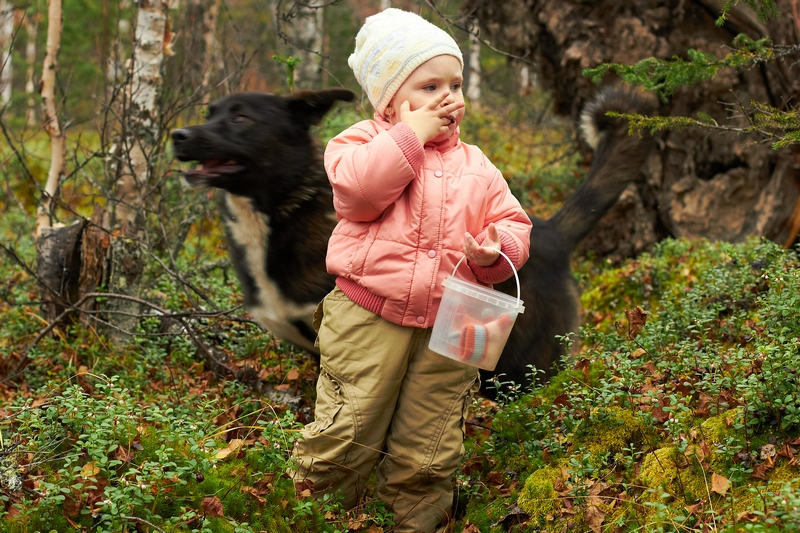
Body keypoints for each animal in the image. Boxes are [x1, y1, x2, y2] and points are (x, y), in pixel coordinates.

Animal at [172, 86, 652, 394]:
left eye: (240, 118)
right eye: (210, 112)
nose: (178, 135)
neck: (284, 208)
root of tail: (549, 233)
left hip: (521, 367)